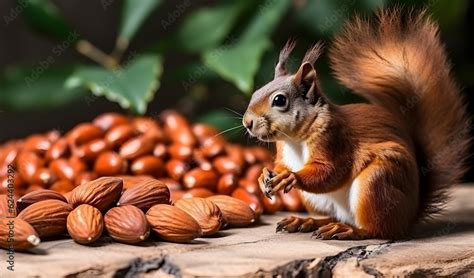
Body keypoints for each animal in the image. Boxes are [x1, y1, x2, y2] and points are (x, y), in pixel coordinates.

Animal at [243, 8, 472, 239]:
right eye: (255, 92)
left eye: (279, 100)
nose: (247, 122)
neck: (294, 140)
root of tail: (409, 217)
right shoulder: (283, 151)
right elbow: (280, 166)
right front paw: (264, 175)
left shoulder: (334, 139)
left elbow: (330, 172)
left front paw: (290, 177)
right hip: (315, 200)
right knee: (335, 216)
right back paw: (308, 221)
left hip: (376, 182)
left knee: (377, 229)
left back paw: (348, 229)